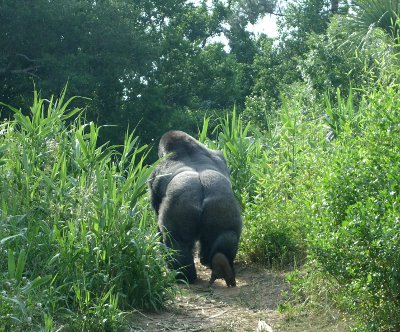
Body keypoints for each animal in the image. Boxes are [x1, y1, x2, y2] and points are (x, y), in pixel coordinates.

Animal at [148, 131, 242, 286]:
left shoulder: (154, 174)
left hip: (182, 208)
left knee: (177, 242)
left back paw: (183, 275)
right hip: (222, 206)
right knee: (228, 234)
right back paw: (221, 263)